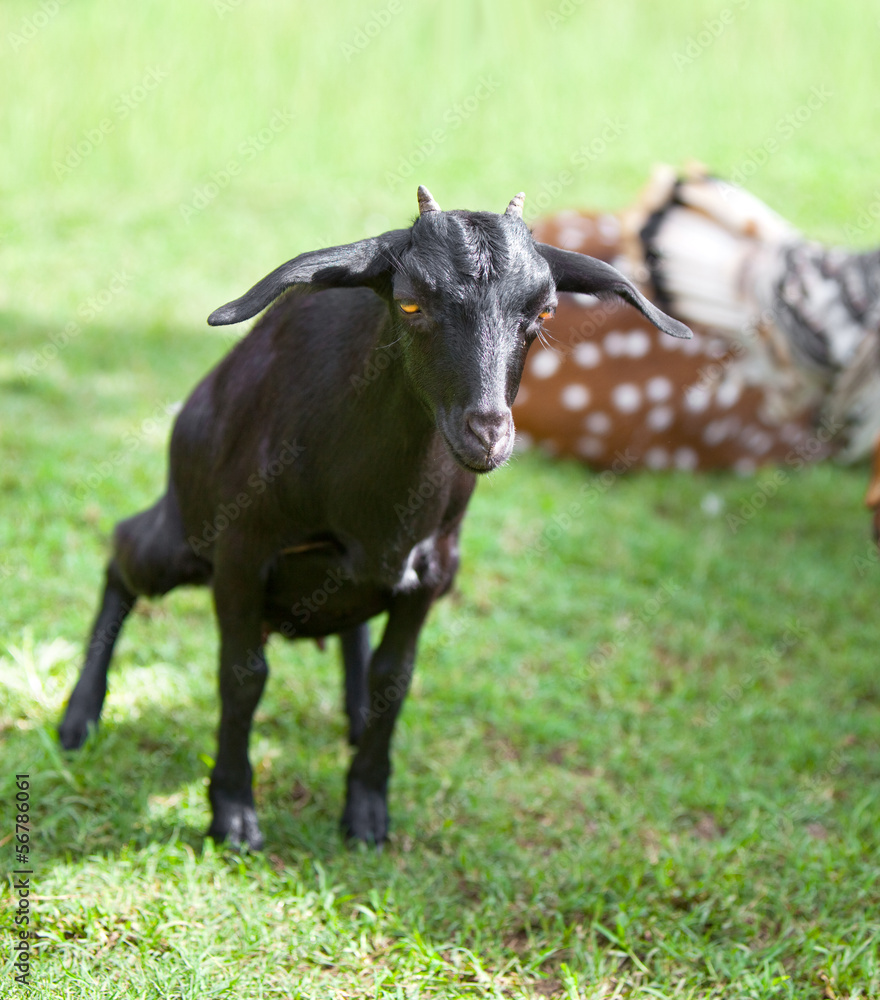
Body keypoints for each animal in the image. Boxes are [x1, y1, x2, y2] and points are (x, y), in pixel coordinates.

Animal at [58, 187, 690, 849]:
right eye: (410, 301)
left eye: (543, 312)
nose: (487, 434)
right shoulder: (241, 553)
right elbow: (243, 676)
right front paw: (233, 812)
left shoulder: (434, 570)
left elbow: (396, 678)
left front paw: (366, 810)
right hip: (184, 533)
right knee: (124, 553)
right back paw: (79, 718)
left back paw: (355, 713)